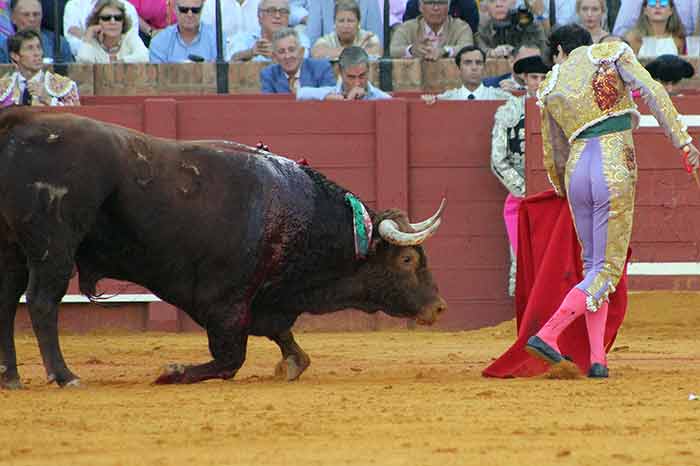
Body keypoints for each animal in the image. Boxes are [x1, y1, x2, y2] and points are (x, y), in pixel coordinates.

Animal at [0, 107, 448, 388]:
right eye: (408, 259)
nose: (439, 308)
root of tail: (19, 123)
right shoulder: (225, 302)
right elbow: (232, 359)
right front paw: (172, 371)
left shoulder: (266, 299)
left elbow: (282, 337)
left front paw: (290, 363)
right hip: (53, 247)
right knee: (41, 302)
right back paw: (64, 375)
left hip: (13, 251)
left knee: (7, 303)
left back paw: (12, 376)